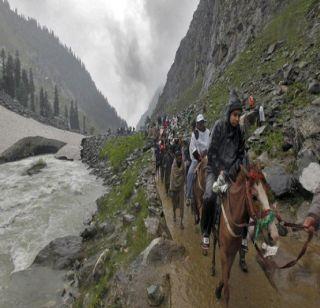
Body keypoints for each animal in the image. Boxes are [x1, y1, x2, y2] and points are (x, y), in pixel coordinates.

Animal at [212, 164, 278, 306]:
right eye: (254, 197)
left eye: (268, 194)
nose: (273, 235)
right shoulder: (224, 251)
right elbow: (227, 288)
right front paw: (222, 294)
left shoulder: (233, 251)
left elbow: (227, 275)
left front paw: (218, 289)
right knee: (213, 242)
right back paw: (213, 266)